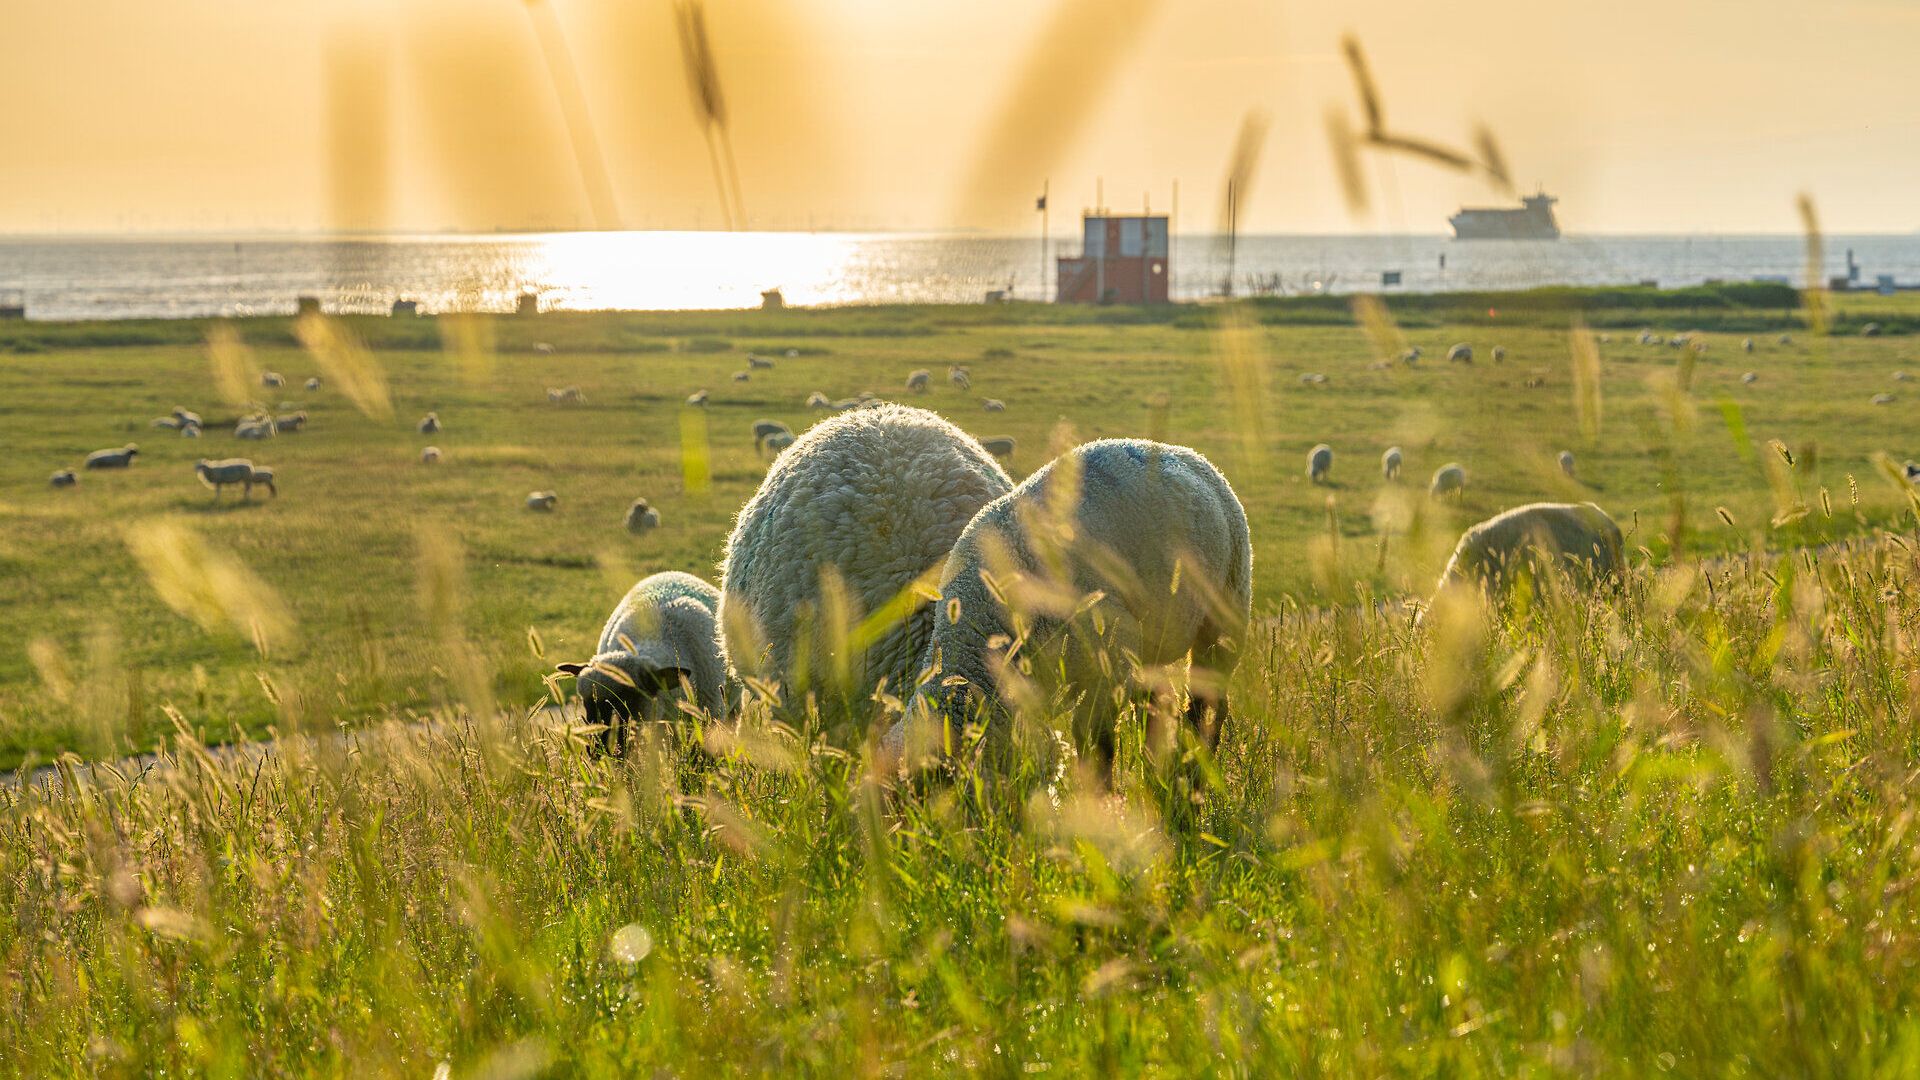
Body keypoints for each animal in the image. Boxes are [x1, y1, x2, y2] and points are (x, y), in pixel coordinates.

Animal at [886, 439, 1253, 785]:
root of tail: (1185, 452)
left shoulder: (1108, 656)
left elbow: (1094, 740)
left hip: (1226, 606)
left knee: (1208, 704)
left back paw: (1194, 775)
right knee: (1160, 700)